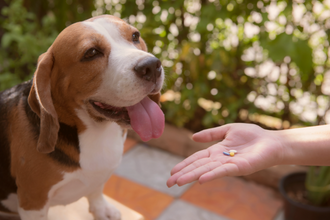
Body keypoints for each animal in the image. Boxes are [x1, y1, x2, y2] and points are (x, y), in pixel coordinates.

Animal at [0, 14, 165, 219]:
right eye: (91, 53)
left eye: (135, 36)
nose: (152, 66)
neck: (97, 132)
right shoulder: (33, 201)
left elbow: (96, 190)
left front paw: (101, 209)